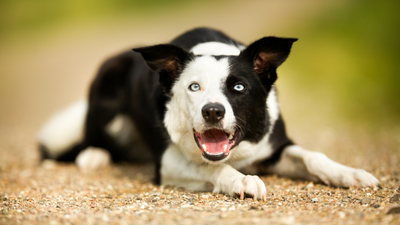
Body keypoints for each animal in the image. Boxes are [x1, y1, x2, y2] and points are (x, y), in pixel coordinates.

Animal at [39, 27, 380, 200]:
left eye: (239, 87)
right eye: (194, 87)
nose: (213, 111)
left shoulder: (274, 146)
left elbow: (313, 157)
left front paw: (350, 173)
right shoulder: (167, 161)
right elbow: (211, 168)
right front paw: (242, 181)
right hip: (106, 80)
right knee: (90, 136)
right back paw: (93, 154)